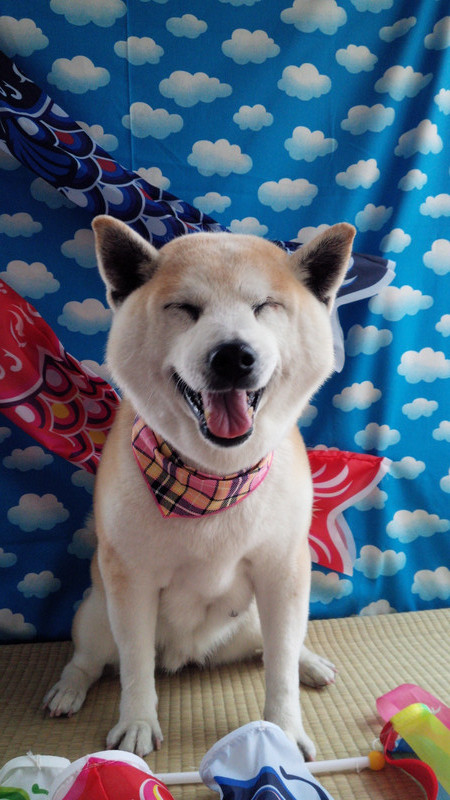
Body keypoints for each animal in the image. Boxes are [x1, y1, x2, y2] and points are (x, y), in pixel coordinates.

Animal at [44, 217, 355, 760]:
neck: (215, 476)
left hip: (251, 617)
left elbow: (279, 670)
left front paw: (284, 729)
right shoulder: (130, 582)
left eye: (264, 306)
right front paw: (137, 723)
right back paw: (68, 690)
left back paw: (309, 662)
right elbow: (134, 668)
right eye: (185, 309)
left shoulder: (283, 572)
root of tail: (186, 655)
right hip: (96, 615)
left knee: (273, 646)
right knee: (90, 659)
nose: (233, 355)